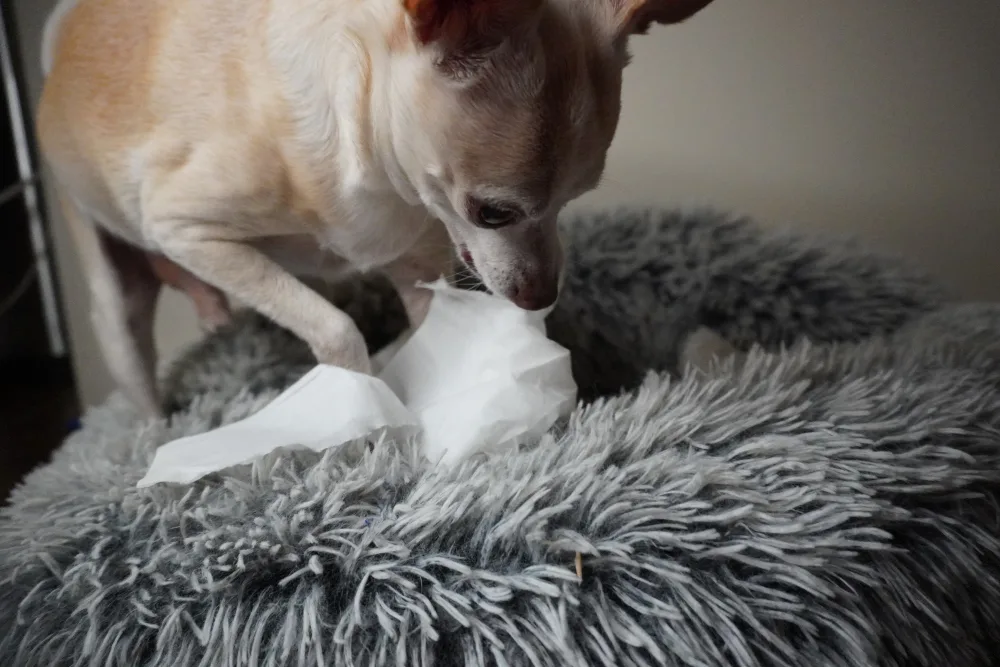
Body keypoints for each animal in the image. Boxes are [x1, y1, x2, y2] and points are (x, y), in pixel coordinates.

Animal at [35, 0, 716, 418]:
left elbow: (424, 331)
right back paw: (157, 438)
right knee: (136, 366)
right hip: (116, 295)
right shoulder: (187, 230)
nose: (541, 296)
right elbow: (336, 329)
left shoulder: (419, 267)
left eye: (574, 202)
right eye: (492, 212)